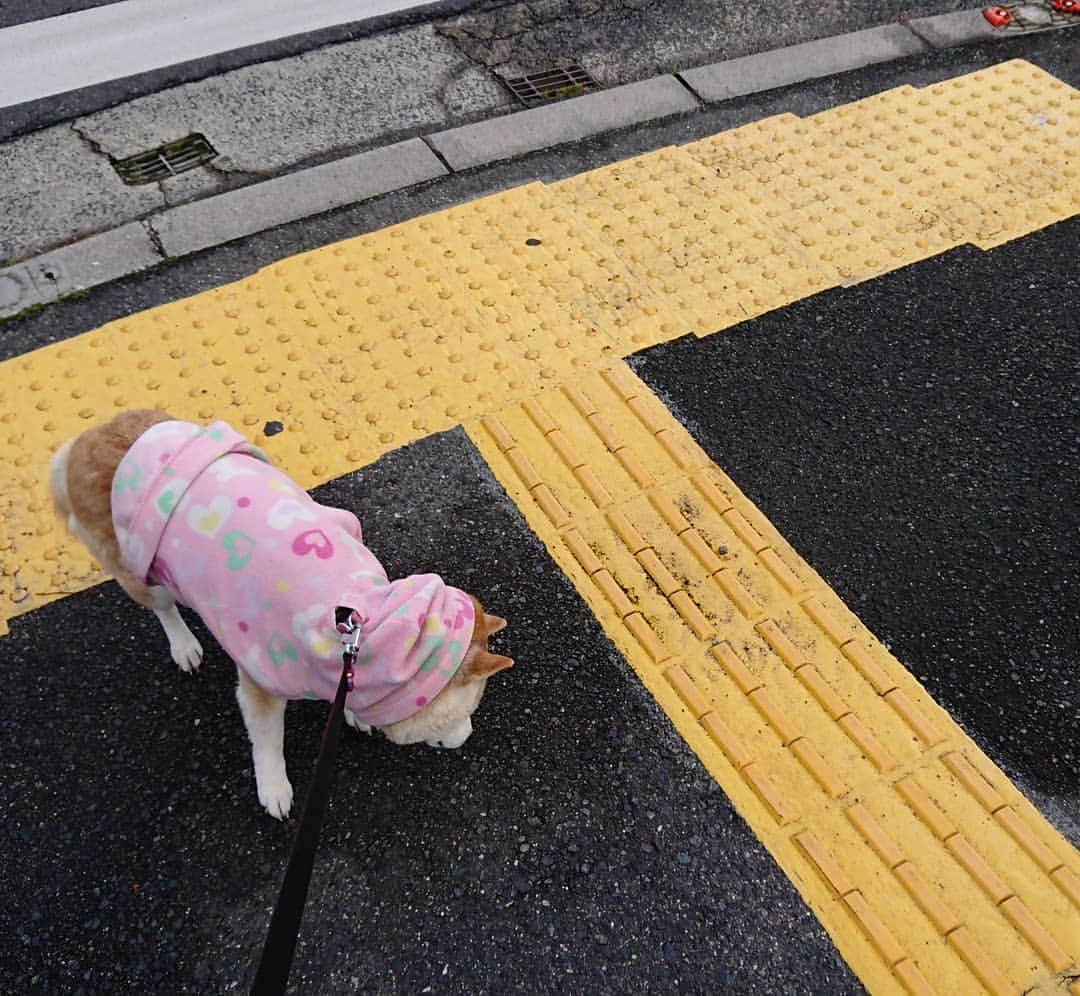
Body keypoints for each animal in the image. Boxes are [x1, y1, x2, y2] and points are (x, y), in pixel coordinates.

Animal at [46, 408, 509, 820]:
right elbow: (267, 741)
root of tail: (86, 440)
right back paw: (183, 643)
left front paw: (353, 713)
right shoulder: (261, 681)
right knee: (163, 607)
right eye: (462, 713)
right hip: (135, 568)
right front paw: (273, 787)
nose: (467, 738)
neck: (363, 623)